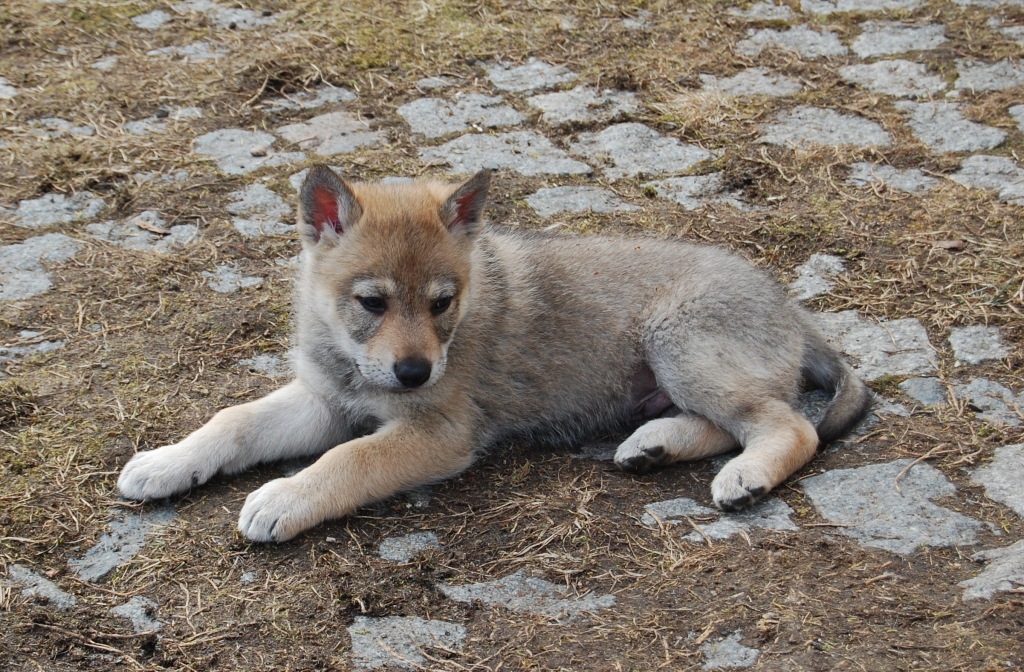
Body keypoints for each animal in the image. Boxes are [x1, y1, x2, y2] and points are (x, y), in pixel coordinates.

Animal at [121, 166, 872, 540]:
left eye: (442, 303)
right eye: (372, 302)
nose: (415, 372)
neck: (351, 358)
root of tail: (791, 309)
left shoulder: (438, 432)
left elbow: (350, 460)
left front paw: (285, 497)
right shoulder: (325, 400)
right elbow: (235, 420)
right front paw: (167, 464)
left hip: (681, 345)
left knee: (788, 424)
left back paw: (747, 477)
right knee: (732, 422)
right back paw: (652, 445)